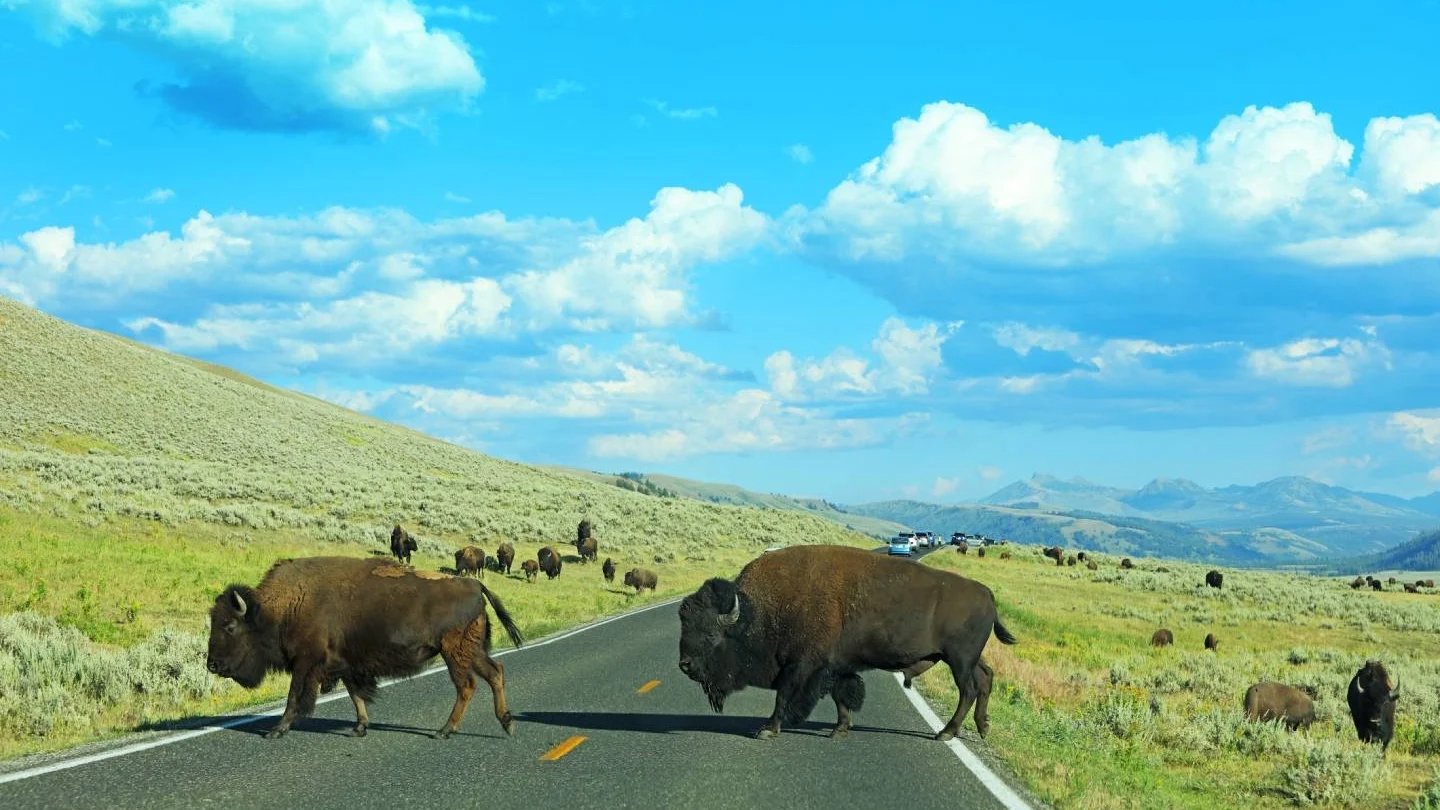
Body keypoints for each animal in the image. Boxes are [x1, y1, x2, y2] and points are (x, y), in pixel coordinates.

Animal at [200, 553, 521, 737]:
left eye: (229, 626)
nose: (212, 664)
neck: (285, 605)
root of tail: (474, 585)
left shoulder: (305, 663)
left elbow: (294, 697)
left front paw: (277, 731)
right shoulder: (344, 665)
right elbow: (356, 695)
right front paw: (360, 728)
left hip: (454, 652)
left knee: (466, 685)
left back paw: (445, 731)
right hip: (472, 650)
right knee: (495, 673)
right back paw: (506, 723)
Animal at [679, 541, 1019, 737]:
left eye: (711, 635)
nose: (684, 665)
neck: (757, 610)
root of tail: (987, 594)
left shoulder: (802, 665)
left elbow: (785, 695)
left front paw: (768, 729)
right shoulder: (835, 666)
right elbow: (841, 694)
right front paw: (840, 729)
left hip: (959, 660)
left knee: (969, 689)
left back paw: (946, 733)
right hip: (967, 659)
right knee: (986, 678)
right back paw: (982, 728)